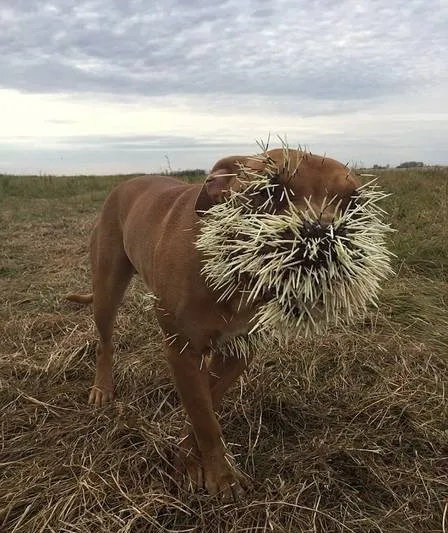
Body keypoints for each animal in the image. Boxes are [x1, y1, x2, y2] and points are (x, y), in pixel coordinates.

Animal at [67, 149, 360, 498]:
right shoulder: (182, 350)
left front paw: (191, 461)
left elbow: (206, 405)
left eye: (353, 202)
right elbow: (204, 417)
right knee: (105, 342)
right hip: (107, 288)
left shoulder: (239, 351)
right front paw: (222, 477)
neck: (236, 274)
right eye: (269, 190)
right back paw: (102, 387)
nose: (322, 237)